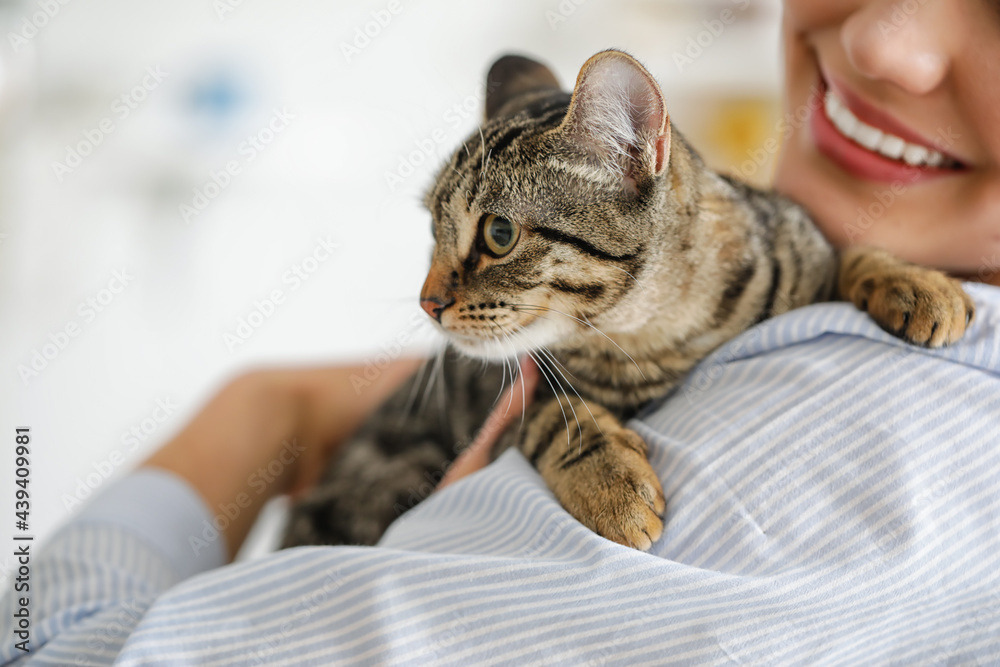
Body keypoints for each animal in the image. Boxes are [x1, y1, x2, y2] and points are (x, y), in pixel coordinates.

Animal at [284, 49, 976, 552]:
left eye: (498, 234)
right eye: (432, 230)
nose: (427, 303)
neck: (660, 335)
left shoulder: (801, 244)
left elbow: (848, 255)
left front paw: (916, 284)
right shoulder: (508, 405)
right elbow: (551, 416)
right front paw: (610, 487)